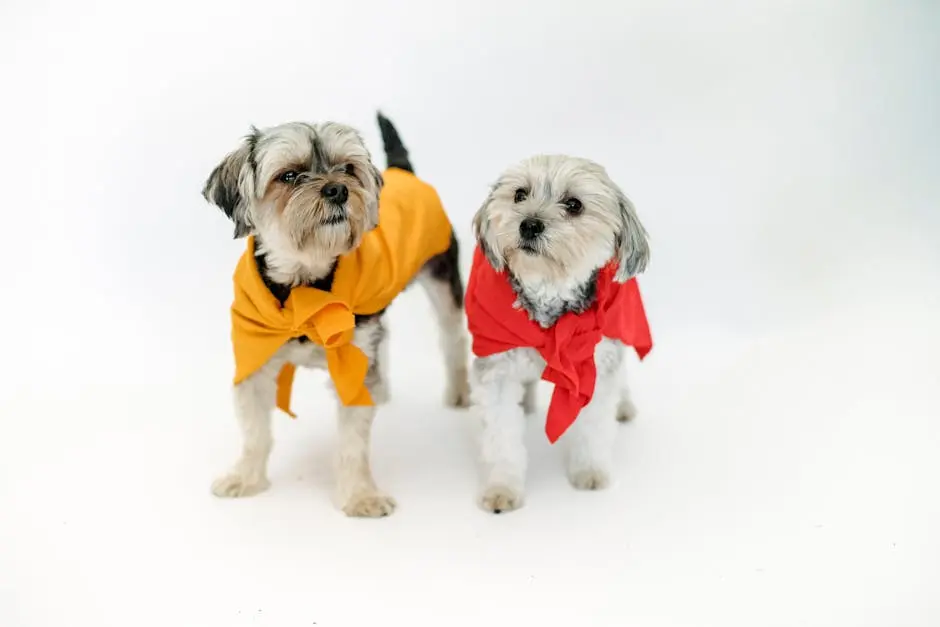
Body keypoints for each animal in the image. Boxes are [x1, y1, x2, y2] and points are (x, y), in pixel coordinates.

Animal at [204, 114, 470, 520]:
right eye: (289, 175)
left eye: (348, 169)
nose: (337, 190)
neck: (303, 285)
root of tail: (403, 171)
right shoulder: (254, 353)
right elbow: (254, 431)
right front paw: (245, 478)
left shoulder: (353, 359)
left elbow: (352, 443)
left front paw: (361, 497)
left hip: (443, 275)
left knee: (453, 337)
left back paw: (458, 393)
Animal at [464, 153, 652, 516]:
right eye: (520, 194)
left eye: (574, 204)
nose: (529, 224)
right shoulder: (497, 368)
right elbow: (501, 438)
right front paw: (502, 488)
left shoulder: (596, 363)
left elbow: (594, 426)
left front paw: (590, 471)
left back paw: (624, 406)